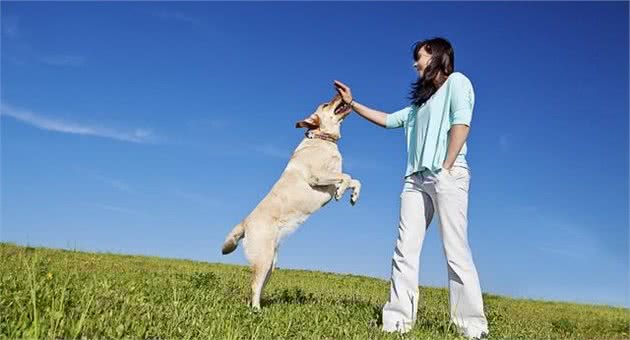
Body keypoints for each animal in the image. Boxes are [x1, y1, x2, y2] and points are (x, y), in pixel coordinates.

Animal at [221, 92, 360, 308]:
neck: (323, 139)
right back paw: (256, 310)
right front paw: (341, 192)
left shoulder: (331, 177)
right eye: (326, 104)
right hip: (263, 258)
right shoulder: (317, 177)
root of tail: (245, 222)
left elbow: (354, 179)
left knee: (260, 285)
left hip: (271, 262)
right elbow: (346, 176)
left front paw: (353, 196)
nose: (339, 93)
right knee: (254, 285)